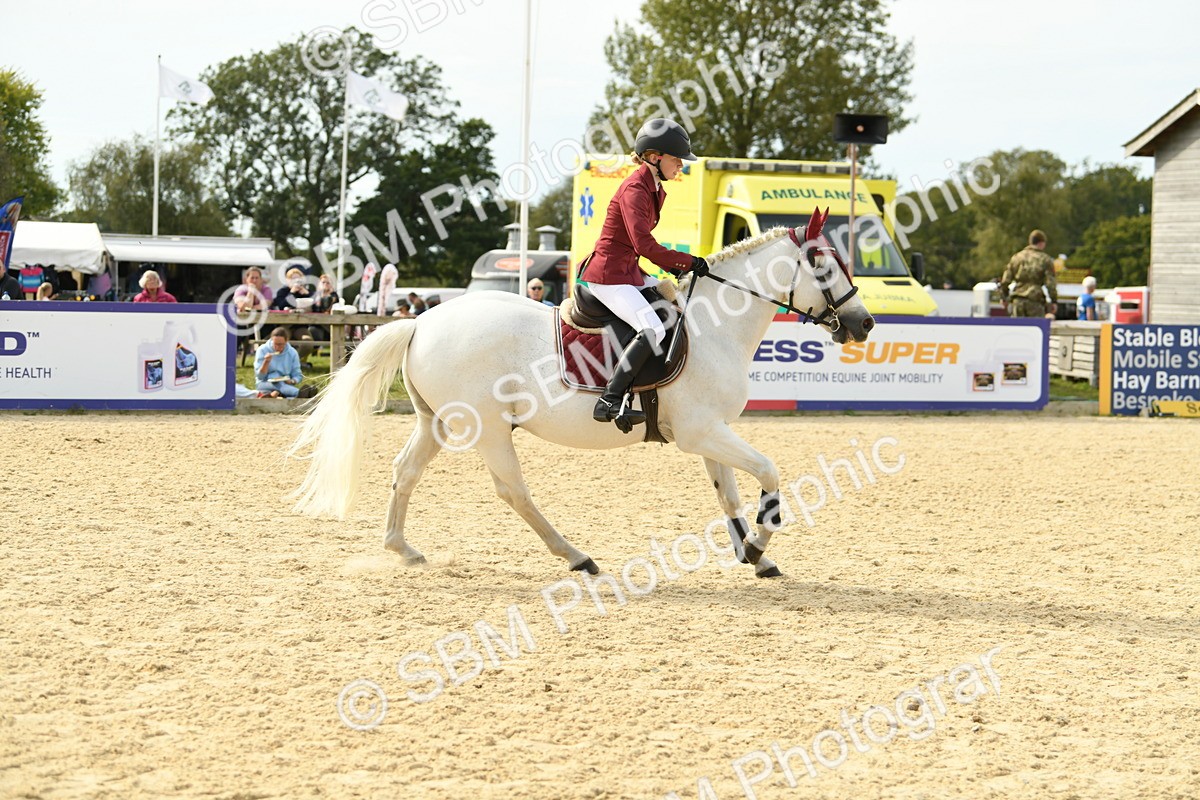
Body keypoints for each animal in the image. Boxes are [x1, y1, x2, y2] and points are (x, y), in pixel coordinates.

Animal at [287, 210, 875, 578]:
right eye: (824, 265)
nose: (864, 323)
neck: (716, 325)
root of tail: (420, 322)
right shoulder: (701, 432)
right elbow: (769, 474)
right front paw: (758, 543)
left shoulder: (713, 431)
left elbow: (728, 494)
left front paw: (753, 555)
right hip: (489, 428)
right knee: (514, 492)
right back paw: (576, 557)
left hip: (435, 422)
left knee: (405, 473)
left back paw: (402, 550)